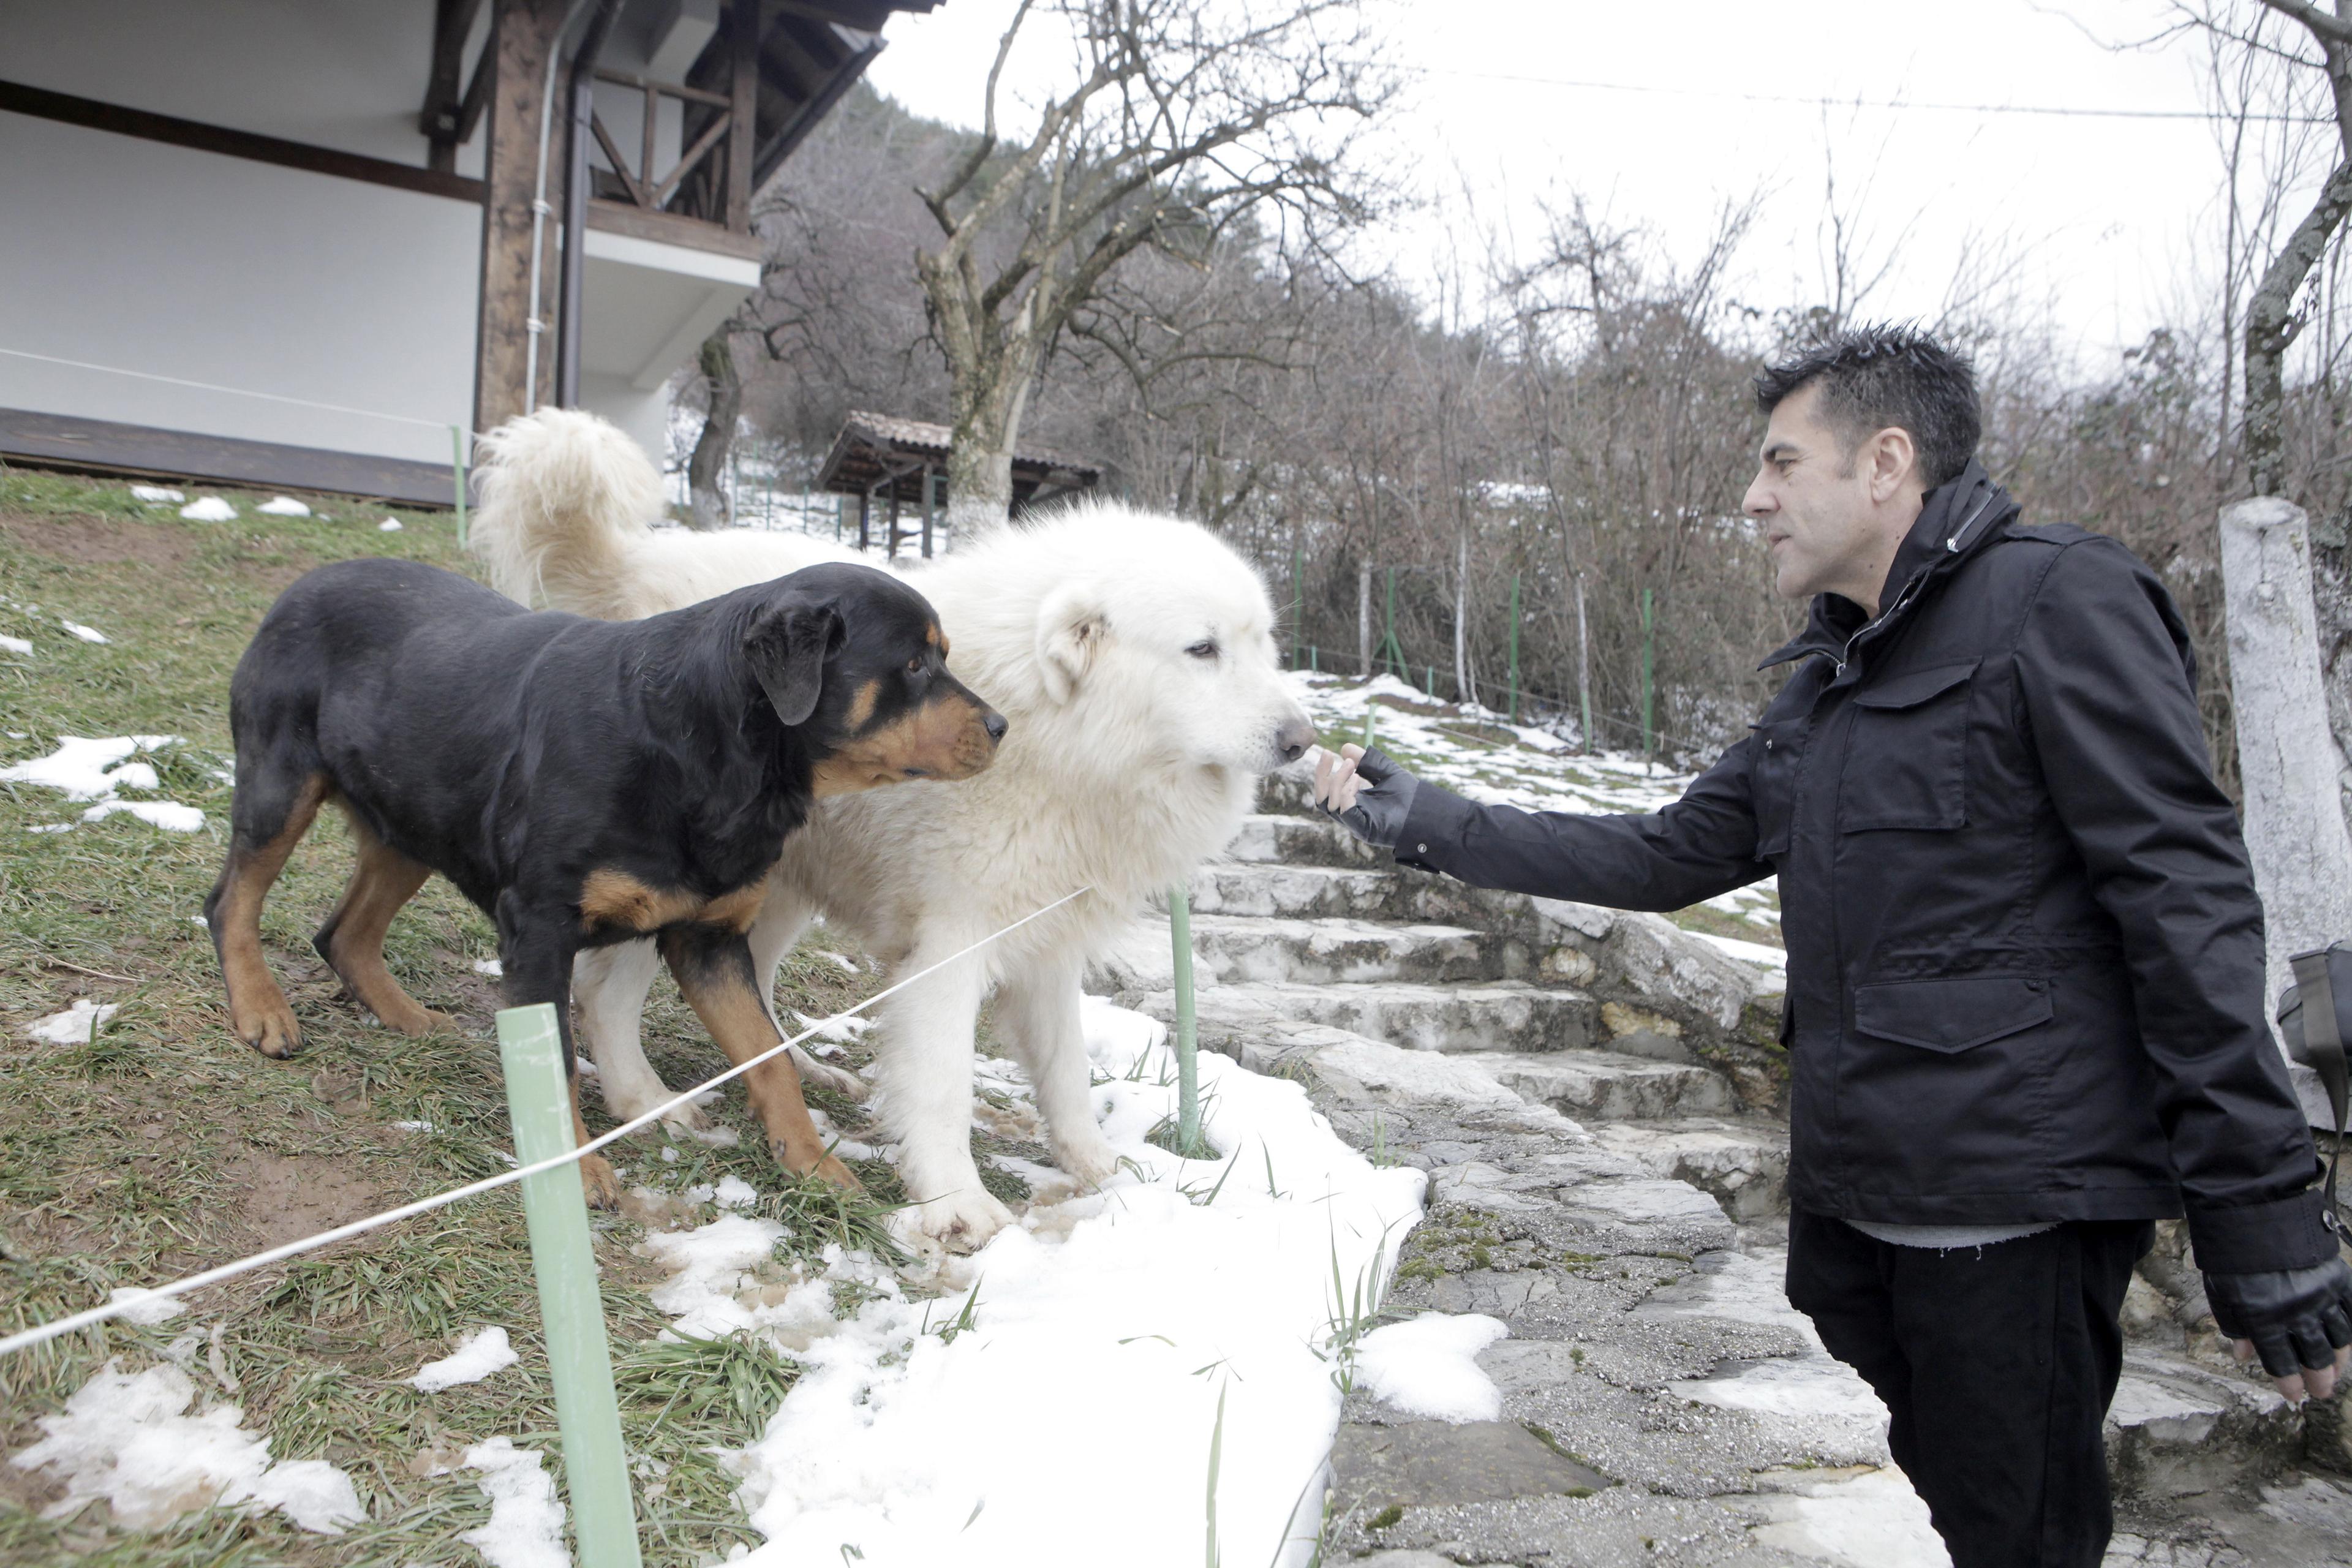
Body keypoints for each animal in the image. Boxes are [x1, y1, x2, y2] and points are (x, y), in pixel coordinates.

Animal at [206, 554, 1006, 1204]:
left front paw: (813, 1164)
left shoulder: (709, 939)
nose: (1001, 727)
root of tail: (305, 582)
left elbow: (769, 1058)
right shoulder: (538, 927)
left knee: (343, 932)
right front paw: (576, 1174)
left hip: (410, 821)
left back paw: (410, 1018)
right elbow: (556, 1064)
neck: (712, 749)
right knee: (231, 901)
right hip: (282, 783)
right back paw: (262, 1011)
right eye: (914, 666)